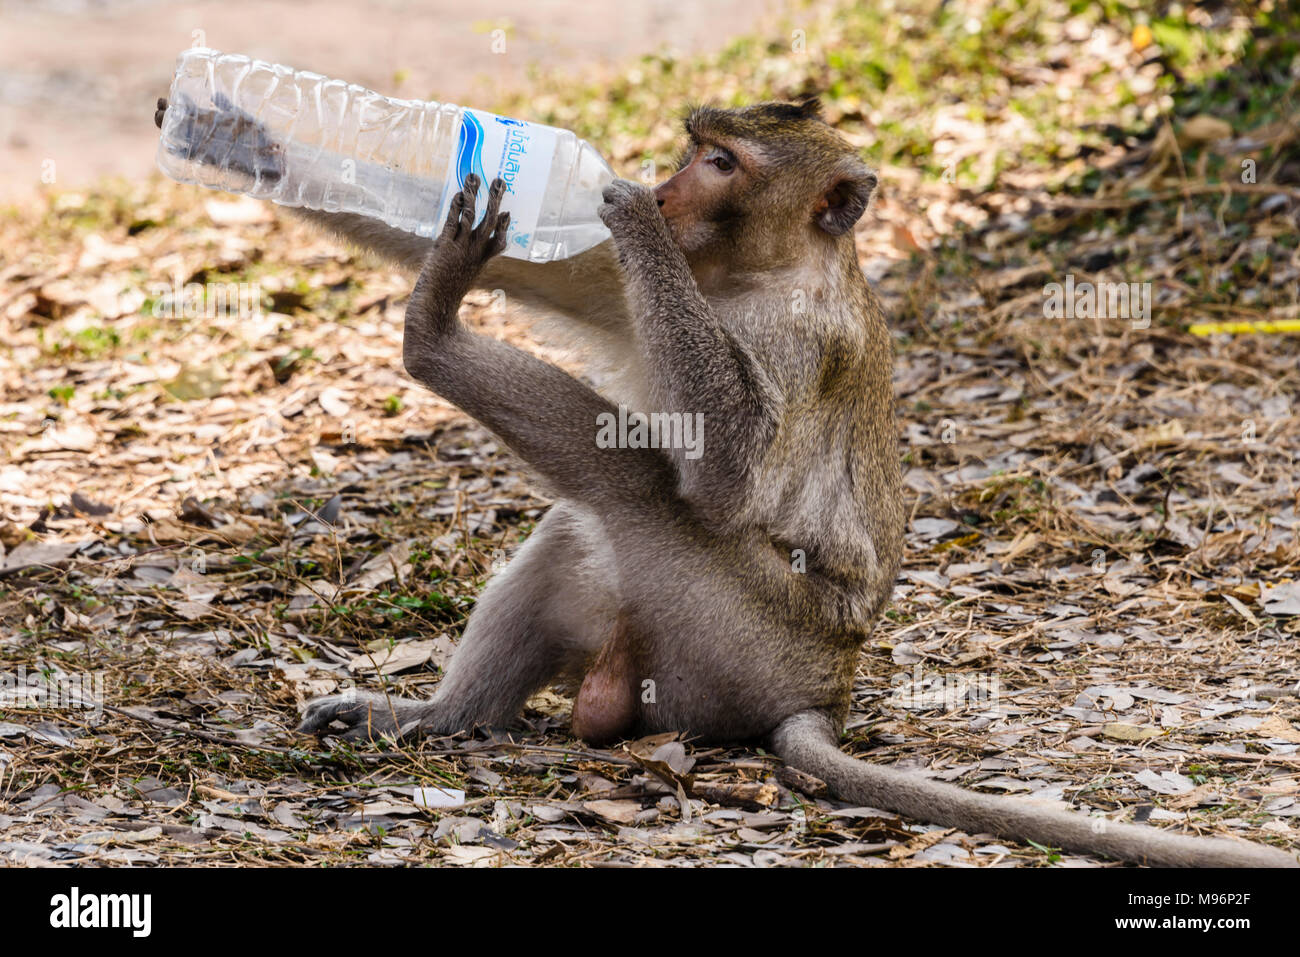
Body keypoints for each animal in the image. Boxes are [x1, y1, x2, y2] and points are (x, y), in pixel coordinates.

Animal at [155, 96, 1295, 867]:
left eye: (718, 160)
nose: (660, 190)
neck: (763, 270)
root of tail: (823, 690)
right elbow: (560, 274)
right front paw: (236, 138)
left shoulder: (795, 334)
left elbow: (725, 475)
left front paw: (619, 213)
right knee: (579, 528)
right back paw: (436, 720)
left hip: (739, 629)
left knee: (632, 491)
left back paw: (431, 336)